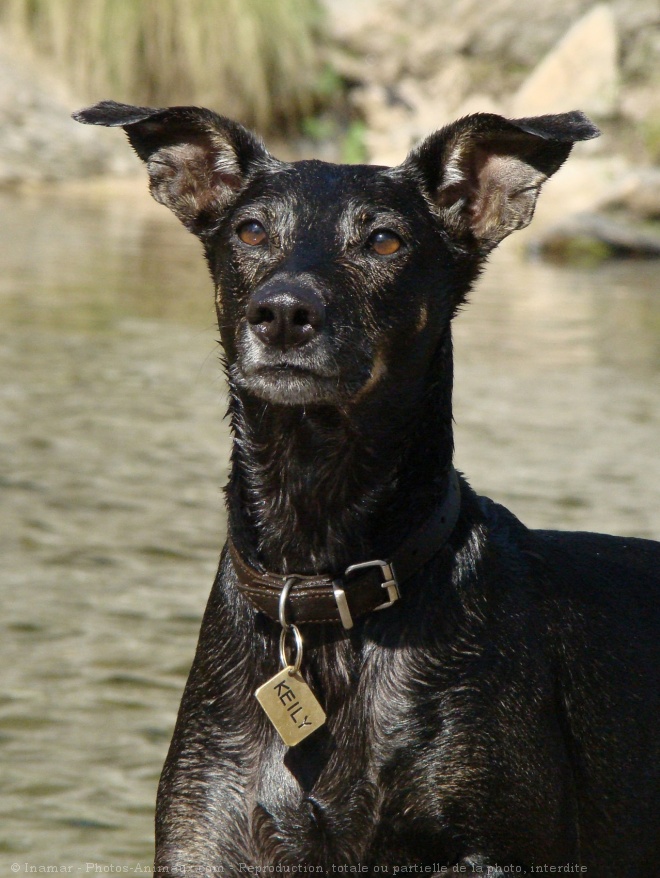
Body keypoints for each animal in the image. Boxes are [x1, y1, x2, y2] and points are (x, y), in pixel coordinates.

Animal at [75, 101, 656, 872]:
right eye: (249, 231)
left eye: (384, 241)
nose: (283, 312)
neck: (324, 579)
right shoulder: (206, 840)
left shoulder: (495, 847)